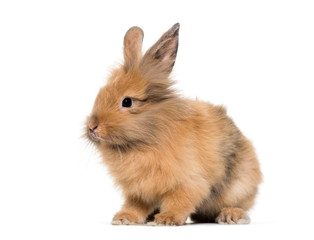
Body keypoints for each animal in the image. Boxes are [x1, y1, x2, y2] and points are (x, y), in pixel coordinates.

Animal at [85, 22, 262, 225]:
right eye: (101, 92)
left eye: (127, 102)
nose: (92, 127)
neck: (144, 142)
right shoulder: (138, 190)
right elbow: (135, 205)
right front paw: (124, 218)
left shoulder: (187, 182)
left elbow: (178, 201)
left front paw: (166, 219)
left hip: (239, 186)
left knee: (237, 205)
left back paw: (231, 215)